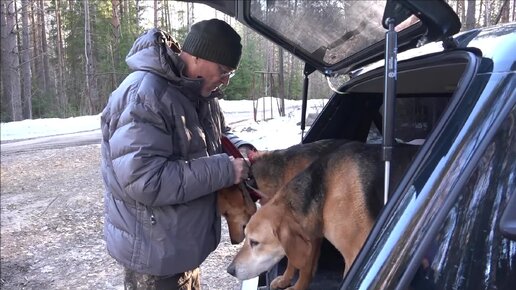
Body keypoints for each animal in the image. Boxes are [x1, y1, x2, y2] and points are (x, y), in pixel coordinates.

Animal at [228, 141, 418, 290]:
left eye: (254, 242)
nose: (230, 270)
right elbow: (293, 260)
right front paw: (285, 280)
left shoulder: (351, 251)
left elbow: (303, 267)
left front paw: (297, 287)